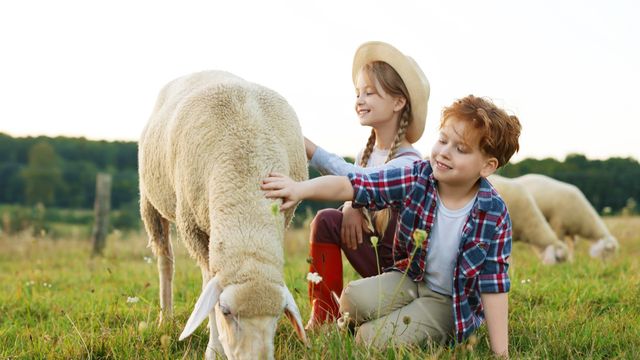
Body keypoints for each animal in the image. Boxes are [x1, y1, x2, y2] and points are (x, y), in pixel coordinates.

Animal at [139, 70, 310, 360]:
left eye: (278, 316)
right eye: (226, 311)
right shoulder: (193, 228)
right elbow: (208, 282)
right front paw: (214, 349)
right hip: (150, 201)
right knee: (165, 259)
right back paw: (165, 317)